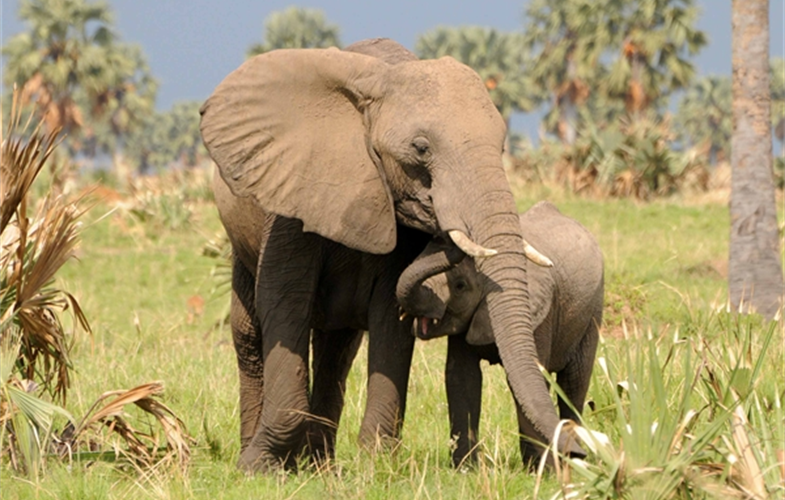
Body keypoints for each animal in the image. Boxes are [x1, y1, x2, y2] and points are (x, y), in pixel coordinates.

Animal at [200, 37, 581, 472]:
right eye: (420, 148)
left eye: (502, 145)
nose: (578, 449)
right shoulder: (290, 196)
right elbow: (284, 301)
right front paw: (260, 468)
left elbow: (390, 315)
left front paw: (376, 463)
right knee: (249, 335)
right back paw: (267, 453)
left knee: (336, 350)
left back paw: (320, 464)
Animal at [396, 201, 604, 467]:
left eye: (460, 286)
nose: (443, 237)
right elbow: (461, 377)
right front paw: (465, 469)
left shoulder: (540, 318)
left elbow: (527, 382)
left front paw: (540, 470)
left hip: (592, 312)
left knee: (574, 384)